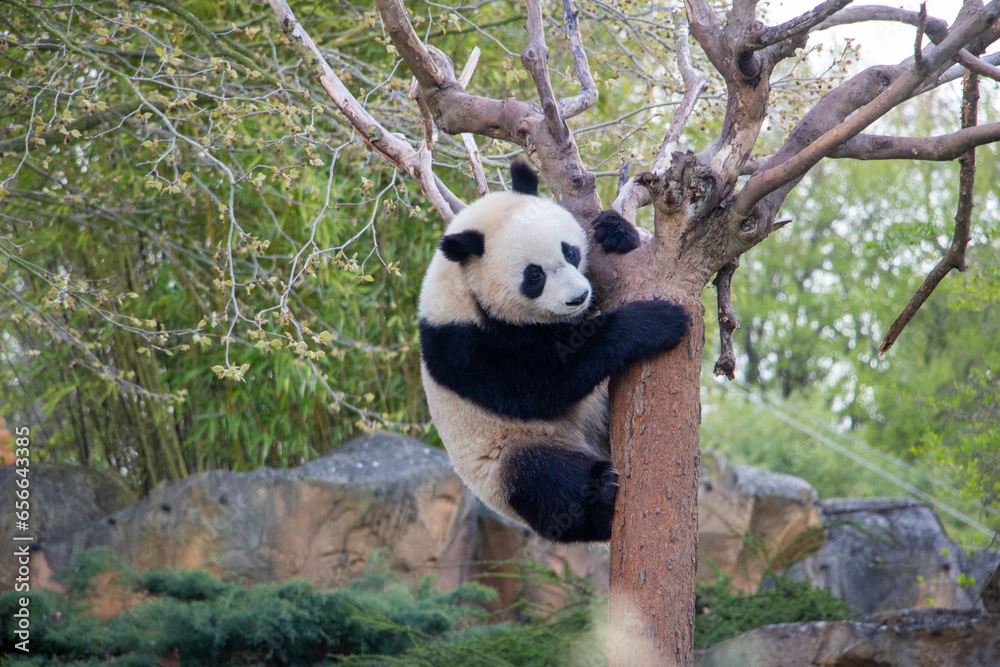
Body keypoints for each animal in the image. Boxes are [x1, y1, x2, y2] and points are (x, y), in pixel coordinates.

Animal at [418, 162, 689, 543]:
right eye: (534, 276)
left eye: (570, 252)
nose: (578, 298)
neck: (463, 285)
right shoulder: (461, 344)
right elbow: (545, 381)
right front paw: (658, 321)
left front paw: (616, 232)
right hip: (505, 456)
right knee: (544, 481)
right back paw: (599, 495)